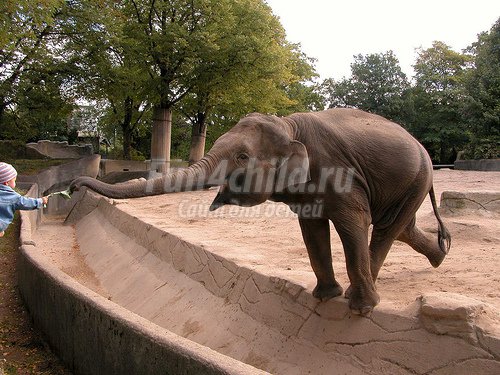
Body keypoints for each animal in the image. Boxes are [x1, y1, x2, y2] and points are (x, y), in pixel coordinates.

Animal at [71, 108, 454, 318]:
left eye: (242, 157)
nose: (74, 186)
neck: (287, 124)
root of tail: (424, 151)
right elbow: (312, 229)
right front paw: (324, 297)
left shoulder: (340, 174)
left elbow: (351, 224)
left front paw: (357, 309)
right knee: (399, 228)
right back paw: (441, 253)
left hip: (416, 178)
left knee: (386, 229)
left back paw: (364, 296)